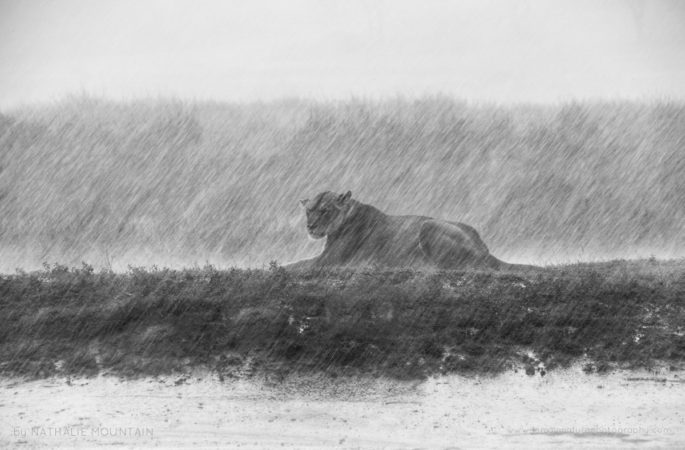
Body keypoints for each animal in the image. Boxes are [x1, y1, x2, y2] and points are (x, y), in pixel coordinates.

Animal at [286, 190, 537, 271]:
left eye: (325, 210)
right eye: (308, 210)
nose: (310, 226)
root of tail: (486, 248)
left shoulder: (330, 261)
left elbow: (298, 265)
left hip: (428, 226)